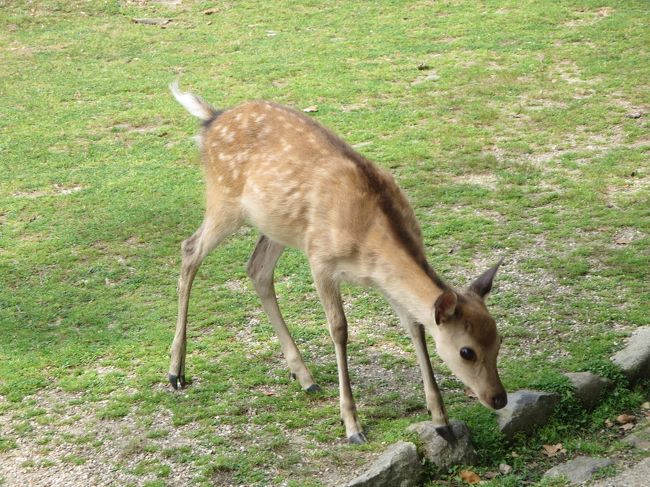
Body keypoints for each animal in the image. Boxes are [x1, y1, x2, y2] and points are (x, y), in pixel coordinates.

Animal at [168, 82, 506, 444]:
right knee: (190, 250)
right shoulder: (321, 259)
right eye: (467, 351)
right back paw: (176, 372)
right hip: (224, 200)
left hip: (278, 224)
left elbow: (415, 327)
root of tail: (210, 118)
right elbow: (339, 329)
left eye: (498, 339)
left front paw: (442, 421)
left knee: (257, 269)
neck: (370, 242)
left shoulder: (383, 280)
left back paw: (304, 377)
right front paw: (352, 426)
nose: (499, 398)